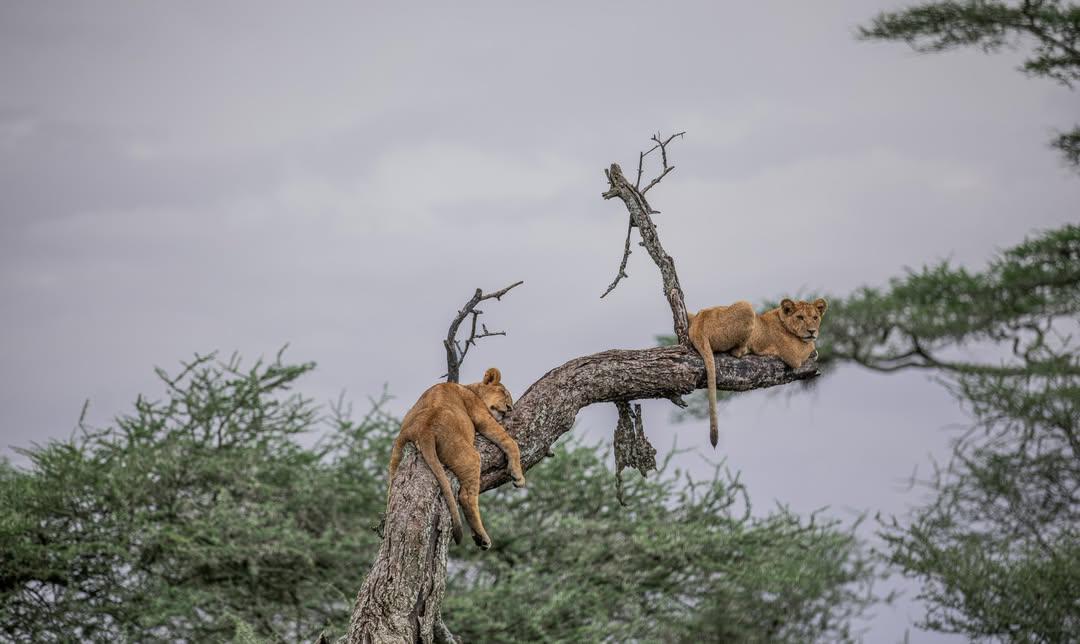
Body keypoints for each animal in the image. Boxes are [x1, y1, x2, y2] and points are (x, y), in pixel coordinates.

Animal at [387, 367, 526, 549]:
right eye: (503, 393)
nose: (509, 409)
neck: (471, 389)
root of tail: (424, 429)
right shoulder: (481, 415)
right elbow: (510, 442)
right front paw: (518, 477)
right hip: (471, 456)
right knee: (466, 497)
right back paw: (482, 537)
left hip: (397, 450)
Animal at [689, 298, 827, 447]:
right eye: (800, 317)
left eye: (815, 317)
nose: (812, 331)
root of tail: (698, 325)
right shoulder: (793, 355)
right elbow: (810, 346)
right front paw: (814, 350)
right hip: (746, 306)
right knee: (736, 352)